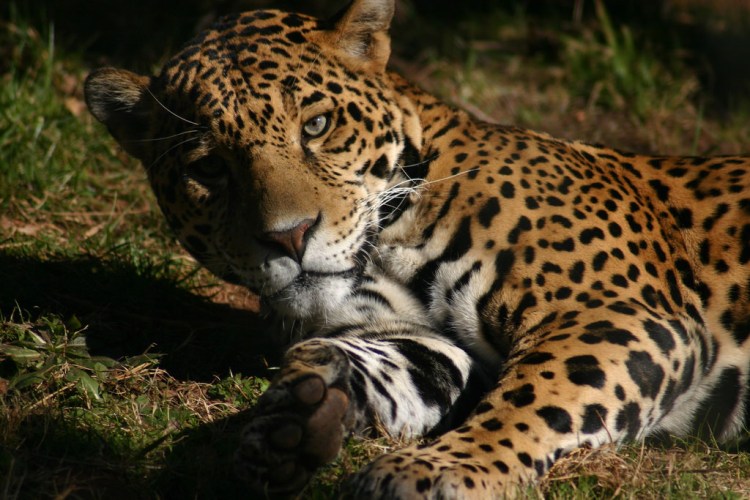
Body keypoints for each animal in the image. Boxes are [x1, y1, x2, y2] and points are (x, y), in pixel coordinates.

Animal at [84, 0, 750, 497]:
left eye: (317, 126)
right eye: (208, 168)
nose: (289, 236)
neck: (387, 245)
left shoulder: (613, 312)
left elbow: (533, 399)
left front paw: (441, 470)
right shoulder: (420, 341)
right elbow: (369, 364)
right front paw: (295, 417)